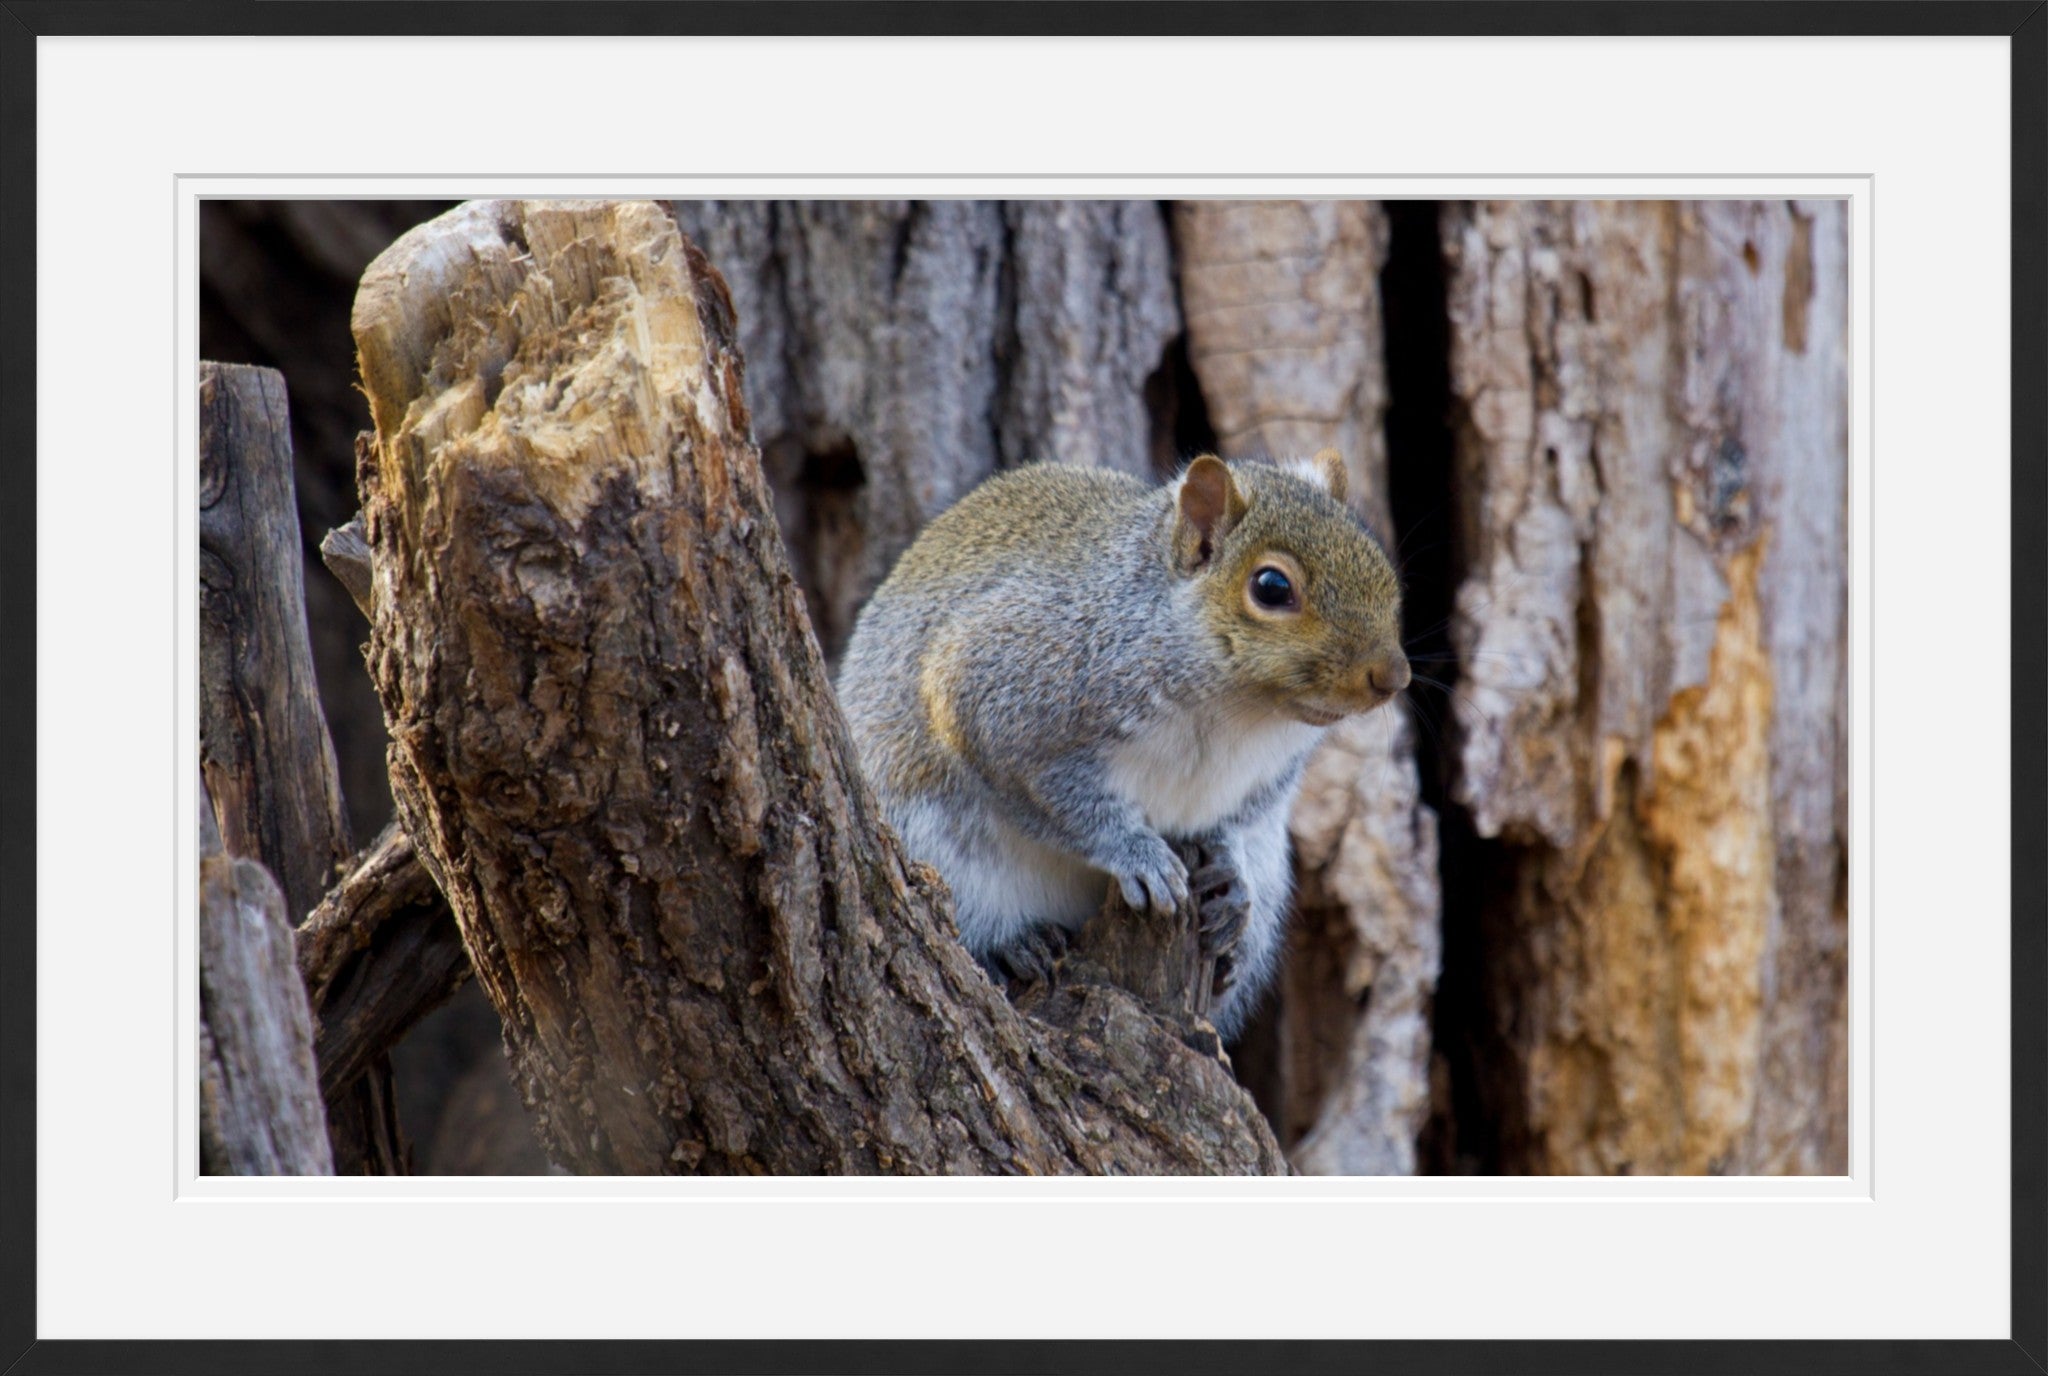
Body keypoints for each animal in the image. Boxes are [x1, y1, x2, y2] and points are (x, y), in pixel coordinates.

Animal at [836, 449, 1408, 1040]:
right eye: (1271, 588)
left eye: (1378, 562)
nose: (1393, 676)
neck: (1239, 711)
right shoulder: (1006, 692)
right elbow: (1052, 798)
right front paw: (1136, 852)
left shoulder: (1273, 773)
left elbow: (1239, 817)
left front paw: (1230, 872)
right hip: (930, 841)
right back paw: (1012, 944)